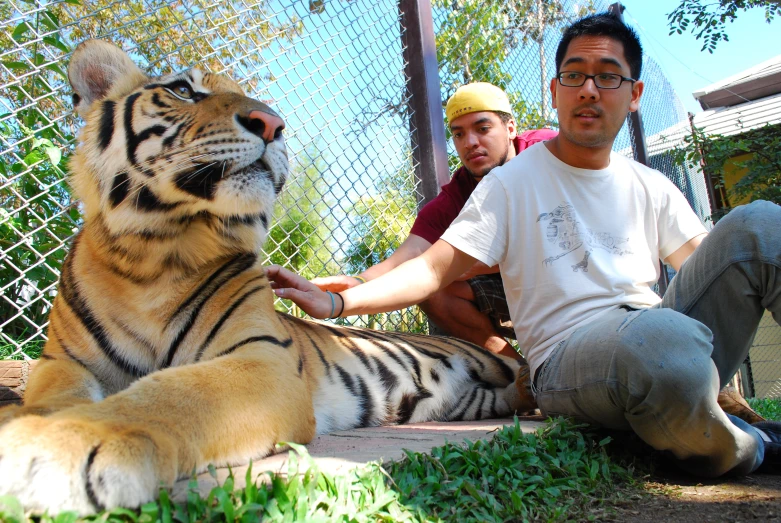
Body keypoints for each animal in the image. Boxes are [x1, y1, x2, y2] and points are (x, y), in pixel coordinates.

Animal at [0, 40, 532, 516]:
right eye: (182, 90)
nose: (274, 124)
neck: (154, 254)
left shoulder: (263, 358)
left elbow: (169, 393)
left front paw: (52, 445)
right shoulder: (64, 362)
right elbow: (56, 397)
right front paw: (34, 422)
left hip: (493, 363)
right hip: (473, 398)